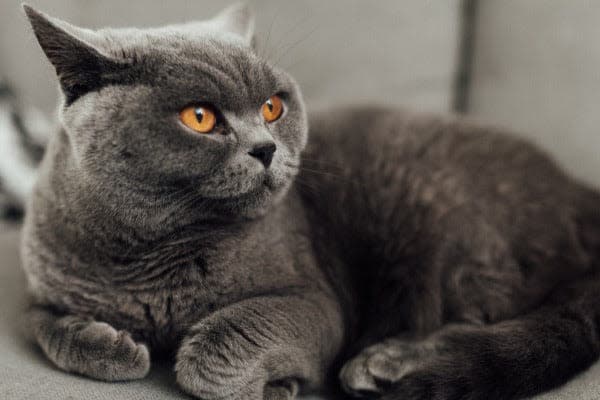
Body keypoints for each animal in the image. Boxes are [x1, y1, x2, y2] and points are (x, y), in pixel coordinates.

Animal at [18, 3, 600, 400]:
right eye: (200, 117)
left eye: (273, 107)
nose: (266, 147)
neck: (148, 253)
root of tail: (578, 191)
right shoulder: (42, 283)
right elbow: (44, 325)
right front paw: (107, 344)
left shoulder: (315, 300)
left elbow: (223, 343)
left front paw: (274, 385)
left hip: (447, 224)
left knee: (482, 322)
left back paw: (382, 364)